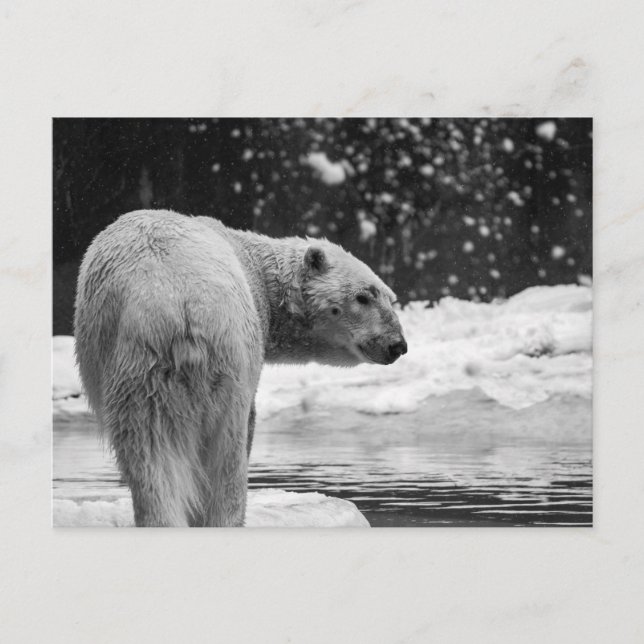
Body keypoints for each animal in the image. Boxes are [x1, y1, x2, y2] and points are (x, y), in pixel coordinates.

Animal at [74, 209, 407, 527]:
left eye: (390, 298)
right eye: (363, 296)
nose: (397, 345)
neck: (256, 266)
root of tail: (184, 310)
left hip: (154, 374)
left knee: (151, 453)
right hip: (208, 364)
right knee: (225, 453)